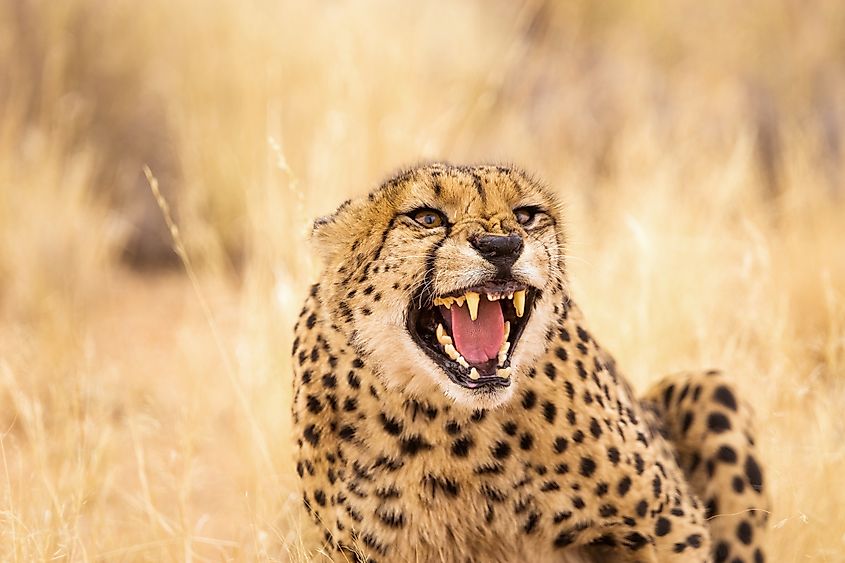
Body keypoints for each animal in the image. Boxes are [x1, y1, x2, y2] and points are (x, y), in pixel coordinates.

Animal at [291, 163, 770, 562]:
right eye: (427, 218)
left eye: (525, 215)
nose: (501, 246)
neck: (452, 427)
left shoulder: (668, 522)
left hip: (710, 386)